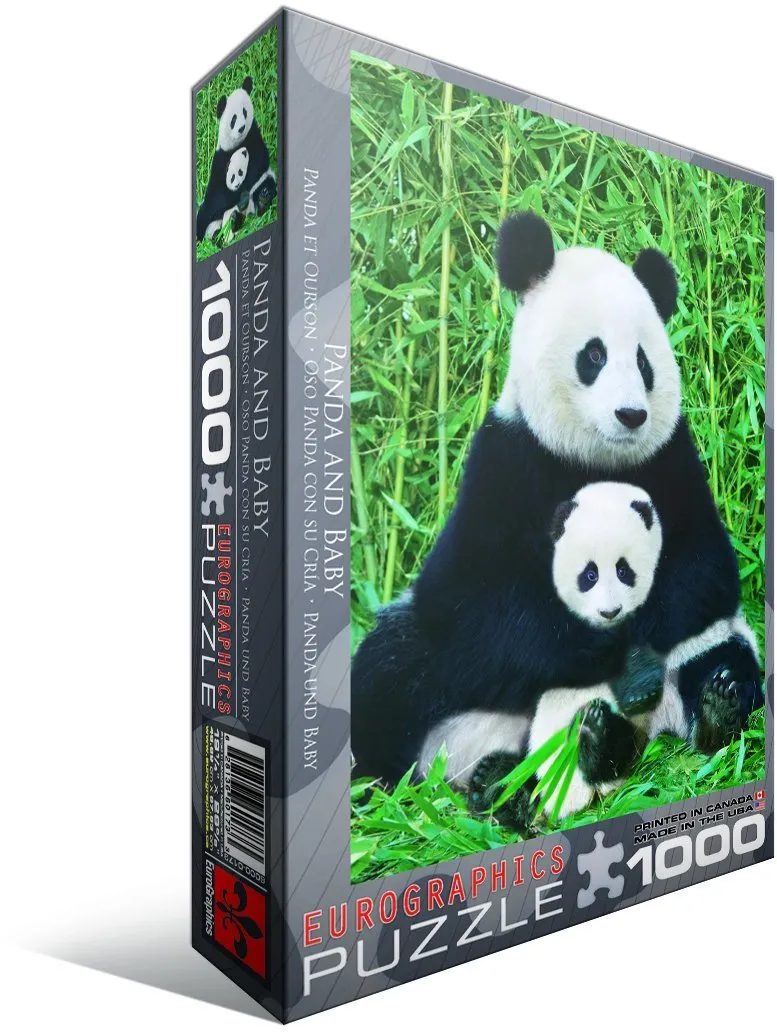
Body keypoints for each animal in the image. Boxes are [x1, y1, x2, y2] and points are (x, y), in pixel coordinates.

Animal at [196, 77, 277, 242]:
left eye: (245, 112)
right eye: (233, 119)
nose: (241, 128)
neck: (238, 144)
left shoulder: (254, 138)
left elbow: (259, 163)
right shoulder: (219, 161)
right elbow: (218, 196)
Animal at [467, 481, 665, 826]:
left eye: (624, 570)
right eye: (589, 574)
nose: (609, 611)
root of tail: (568, 802)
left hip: (626, 747)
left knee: (615, 752)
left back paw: (596, 736)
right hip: (532, 756)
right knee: (516, 774)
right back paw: (493, 784)